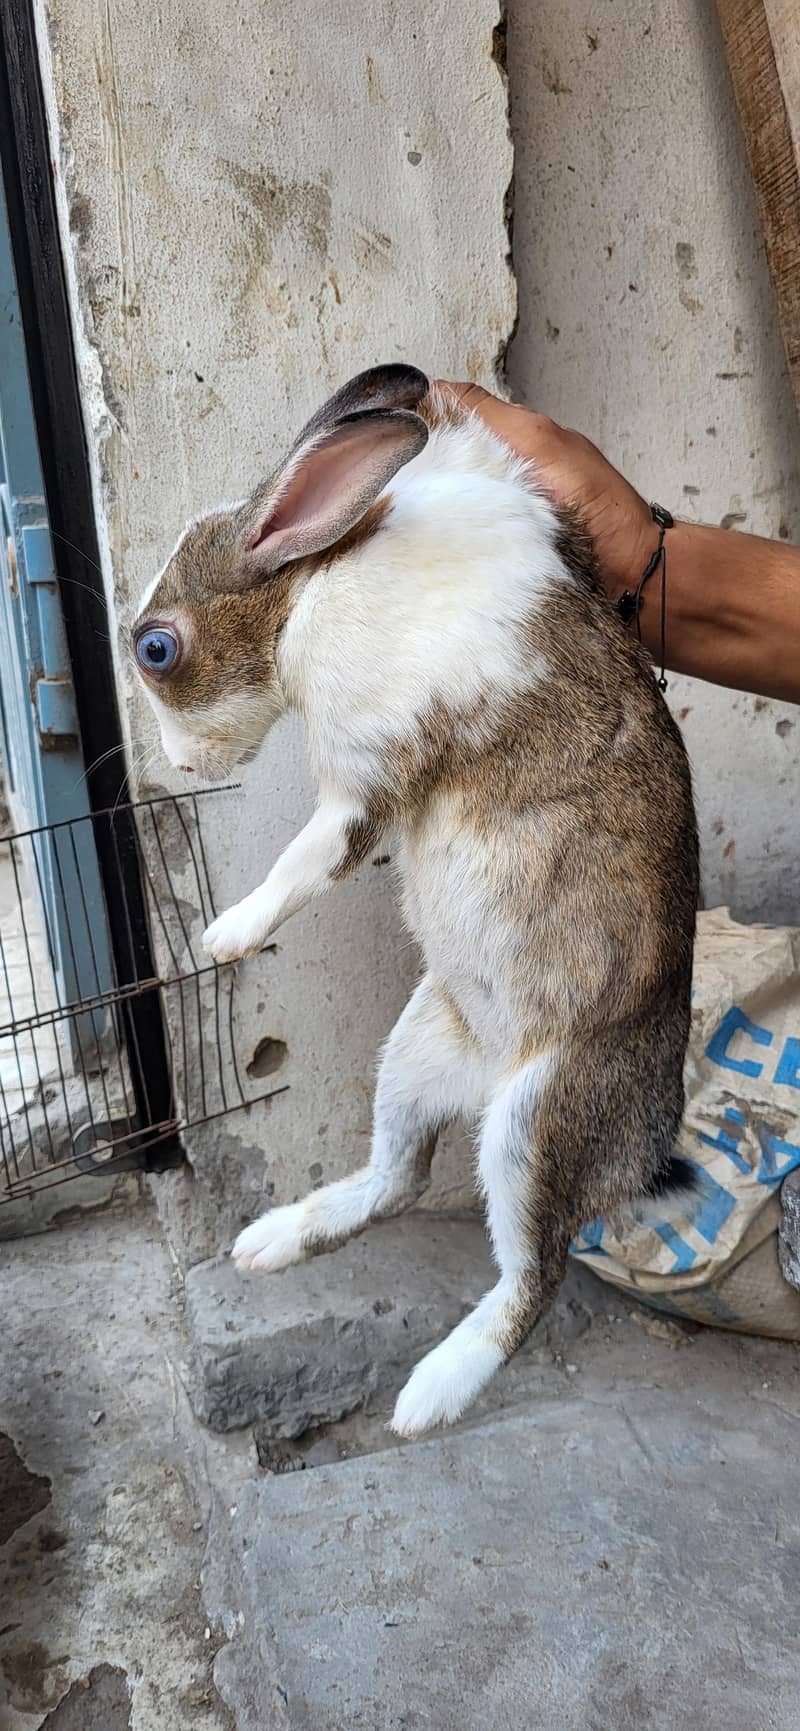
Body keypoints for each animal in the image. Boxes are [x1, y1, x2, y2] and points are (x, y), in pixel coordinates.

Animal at [132, 363, 698, 1437]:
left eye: (155, 648)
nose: (181, 769)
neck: (305, 587)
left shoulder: (367, 778)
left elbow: (305, 863)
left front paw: (220, 939)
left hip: (535, 1125)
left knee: (530, 1278)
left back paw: (429, 1396)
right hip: (415, 1050)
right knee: (400, 1179)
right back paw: (272, 1239)